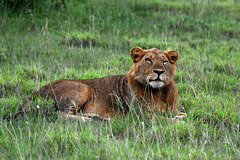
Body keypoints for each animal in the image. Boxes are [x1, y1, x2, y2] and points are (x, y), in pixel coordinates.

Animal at [10, 47, 186, 120]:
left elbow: (183, 115)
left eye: (164, 62)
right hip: (83, 87)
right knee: (60, 115)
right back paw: (88, 120)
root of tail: (34, 94)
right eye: (148, 60)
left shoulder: (172, 109)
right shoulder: (141, 115)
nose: (159, 72)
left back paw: (98, 118)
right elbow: (165, 120)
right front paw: (175, 122)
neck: (159, 92)